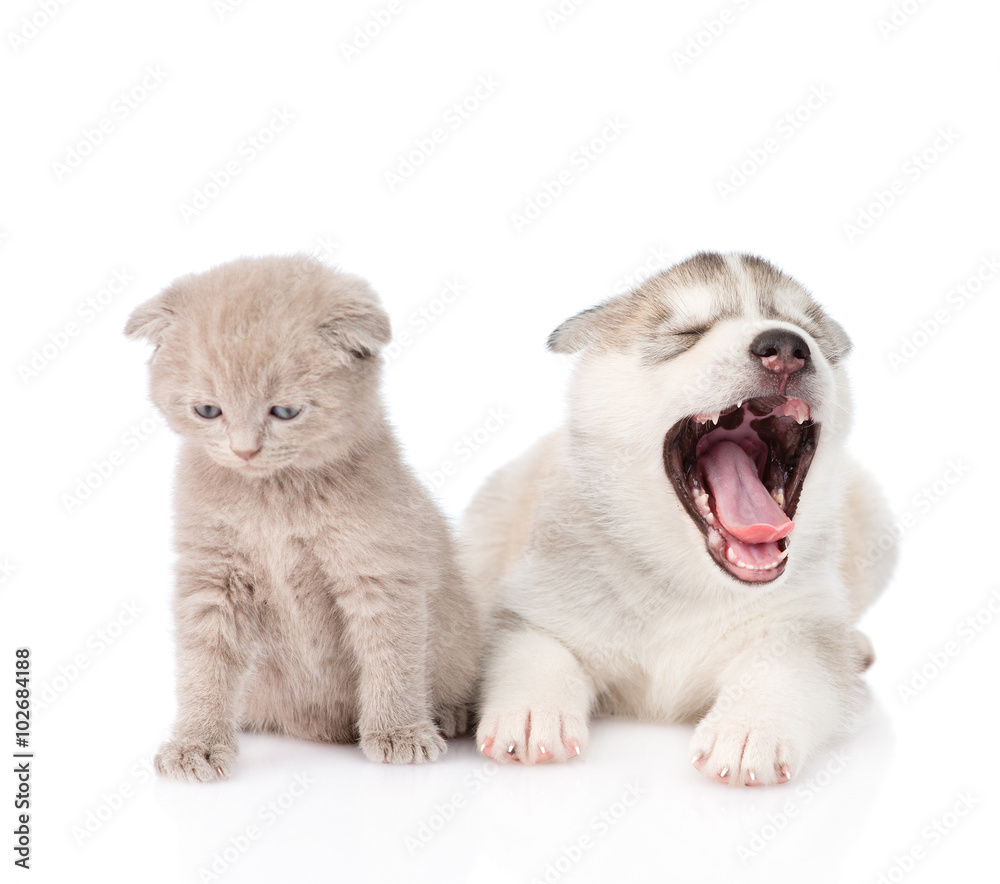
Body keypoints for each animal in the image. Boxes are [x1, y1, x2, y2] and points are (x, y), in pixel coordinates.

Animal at [123, 254, 482, 780]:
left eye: (285, 411)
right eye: (208, 410)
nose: (244, 450)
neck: (275, 502)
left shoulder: (379, 571)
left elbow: (391, 655)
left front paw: (399, 732)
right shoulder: (212, 576)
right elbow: (204, 663)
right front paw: (197, 743)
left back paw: (450, 713)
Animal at [468, 252, 900, 784]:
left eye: (808, 331)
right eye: (687, 332)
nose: (786, 347)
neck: (685, 583)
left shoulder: (802, 627)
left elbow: (786, 673)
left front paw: (749, 729)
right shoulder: (535, 603)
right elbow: (534, 650)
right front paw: (530, 714)